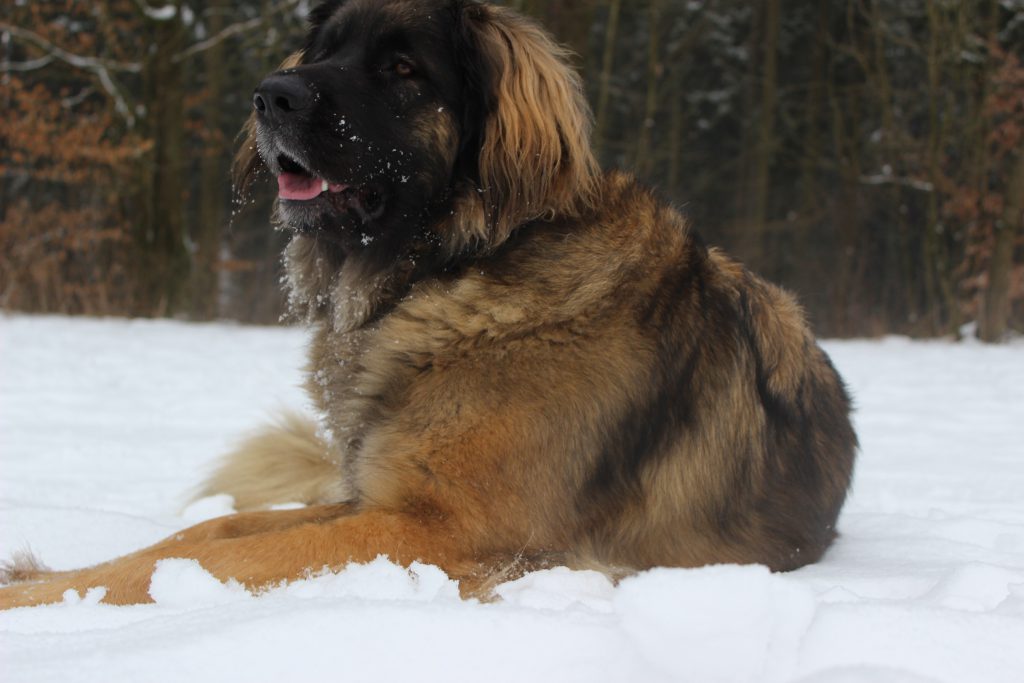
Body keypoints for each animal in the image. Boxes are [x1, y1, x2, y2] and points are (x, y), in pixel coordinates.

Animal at [0, 0, 856, 610]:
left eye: (404, 69)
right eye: (323, 51)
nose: (270, 95)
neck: (455, 266)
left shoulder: (435, 528)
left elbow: (213, 552)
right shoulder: (375, 497)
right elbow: (210, 528)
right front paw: (38, 579)